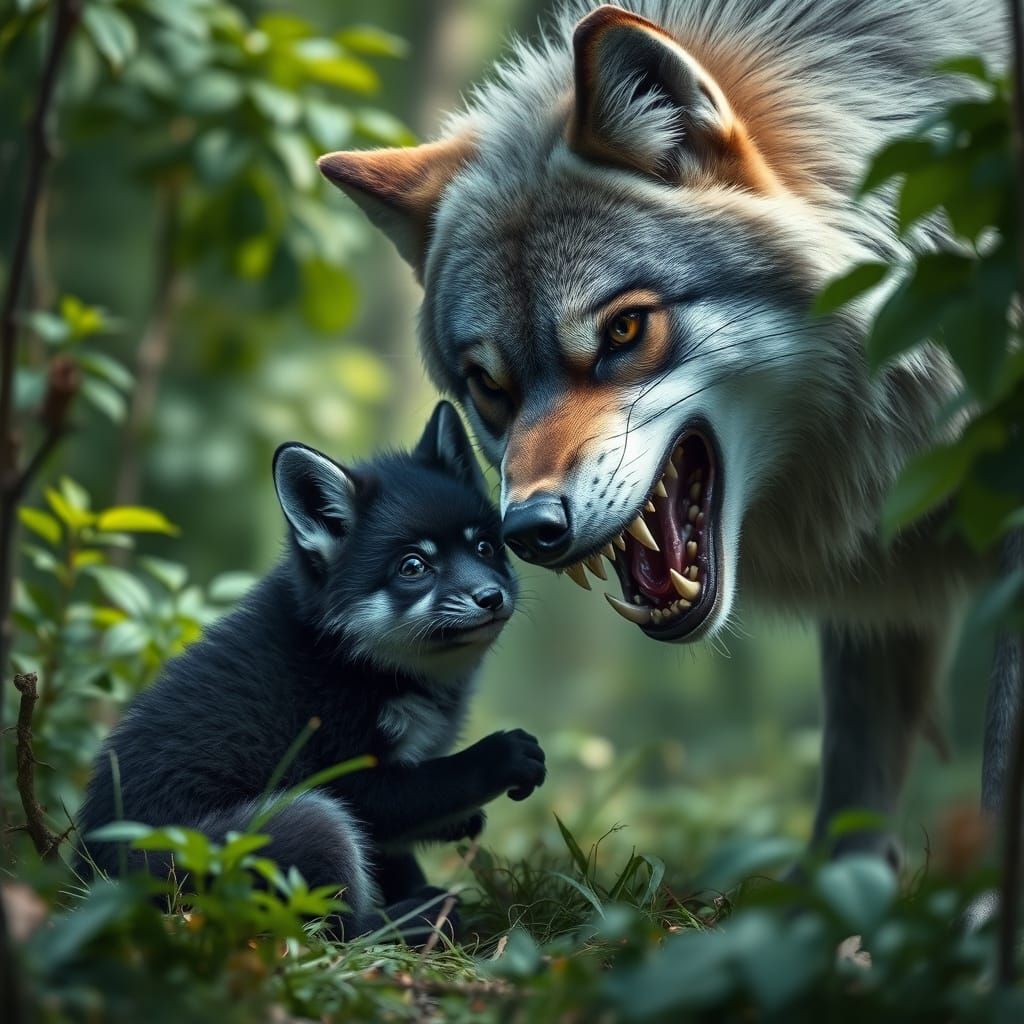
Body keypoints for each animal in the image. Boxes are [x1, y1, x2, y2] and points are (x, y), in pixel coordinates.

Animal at [77, 402, 546, 940]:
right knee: (338, 933)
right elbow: (439, 782)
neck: (357, 662)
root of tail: (93, 884)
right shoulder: (348, 779)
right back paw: (420, 920)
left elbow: (401, 853)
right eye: (413, 566)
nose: (491, 597)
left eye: (485, 547)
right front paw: (503, 756)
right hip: (307, 822)